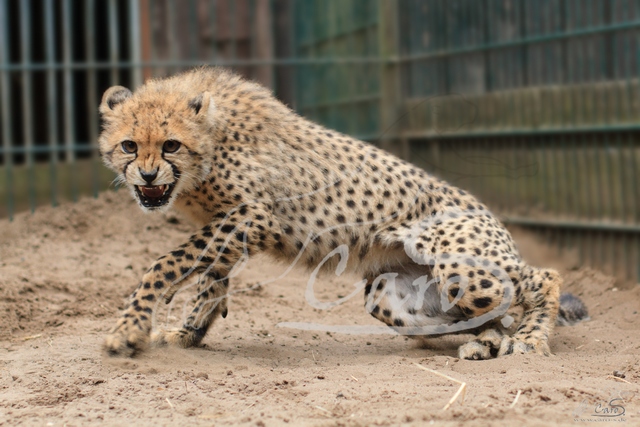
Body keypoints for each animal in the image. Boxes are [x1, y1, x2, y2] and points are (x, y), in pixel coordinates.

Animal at [99, 67, 584, 362]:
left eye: (170, 145)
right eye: (129, 145)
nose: (146, 175)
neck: (211, 144)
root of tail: (485, 211)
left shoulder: (254, 215)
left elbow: (165, 264)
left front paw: (129, 330)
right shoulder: (228, 225)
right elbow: (210, 278)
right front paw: (190, 331)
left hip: (462, 268)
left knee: (540, 278)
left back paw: (528, 339)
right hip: (387, 294)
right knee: (477, 317)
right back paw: (486, 343)